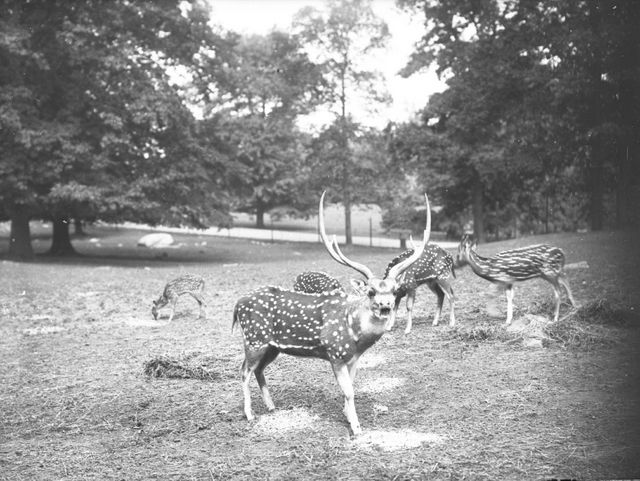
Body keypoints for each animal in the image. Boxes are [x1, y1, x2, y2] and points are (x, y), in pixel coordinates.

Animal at [232, 190, 432, 436]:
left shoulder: (353, 358)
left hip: (272, 346)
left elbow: (352, 388)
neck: (356, 336)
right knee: (244, 371)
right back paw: (249, 414)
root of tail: (237, 304)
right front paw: (356, 427)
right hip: (254, 340)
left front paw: (346, 415)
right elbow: (349, 391)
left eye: (394, 291)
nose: (385, 305)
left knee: (258, 369)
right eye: (371, 291)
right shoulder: (335, 354)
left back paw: (271, 406)